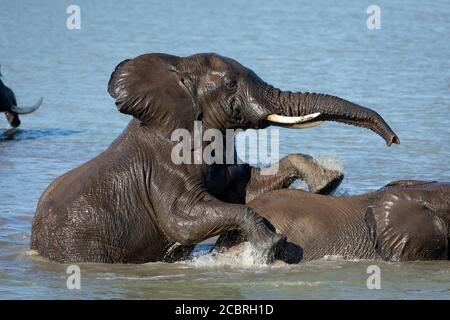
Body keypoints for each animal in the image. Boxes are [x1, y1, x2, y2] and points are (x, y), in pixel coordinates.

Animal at [29, 53, 400, 262]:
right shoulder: (164, 165)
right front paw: (271, 245)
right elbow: (183, 221)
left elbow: (246, 189)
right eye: (232, 84)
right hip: (78, 243)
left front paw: (327, 181)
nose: (394, 140)